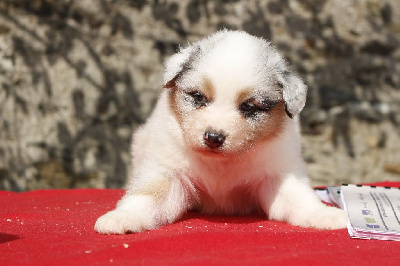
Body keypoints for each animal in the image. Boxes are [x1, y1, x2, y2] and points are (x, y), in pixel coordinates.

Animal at [94, 30, 346, 234]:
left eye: (248, 107)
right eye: (198, 97)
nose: (213, 138)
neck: (221, 163)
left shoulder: (278, 172)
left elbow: (299, 199)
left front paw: (327, 215)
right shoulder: (169, 170)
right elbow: (149, 198)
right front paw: (121, 218)